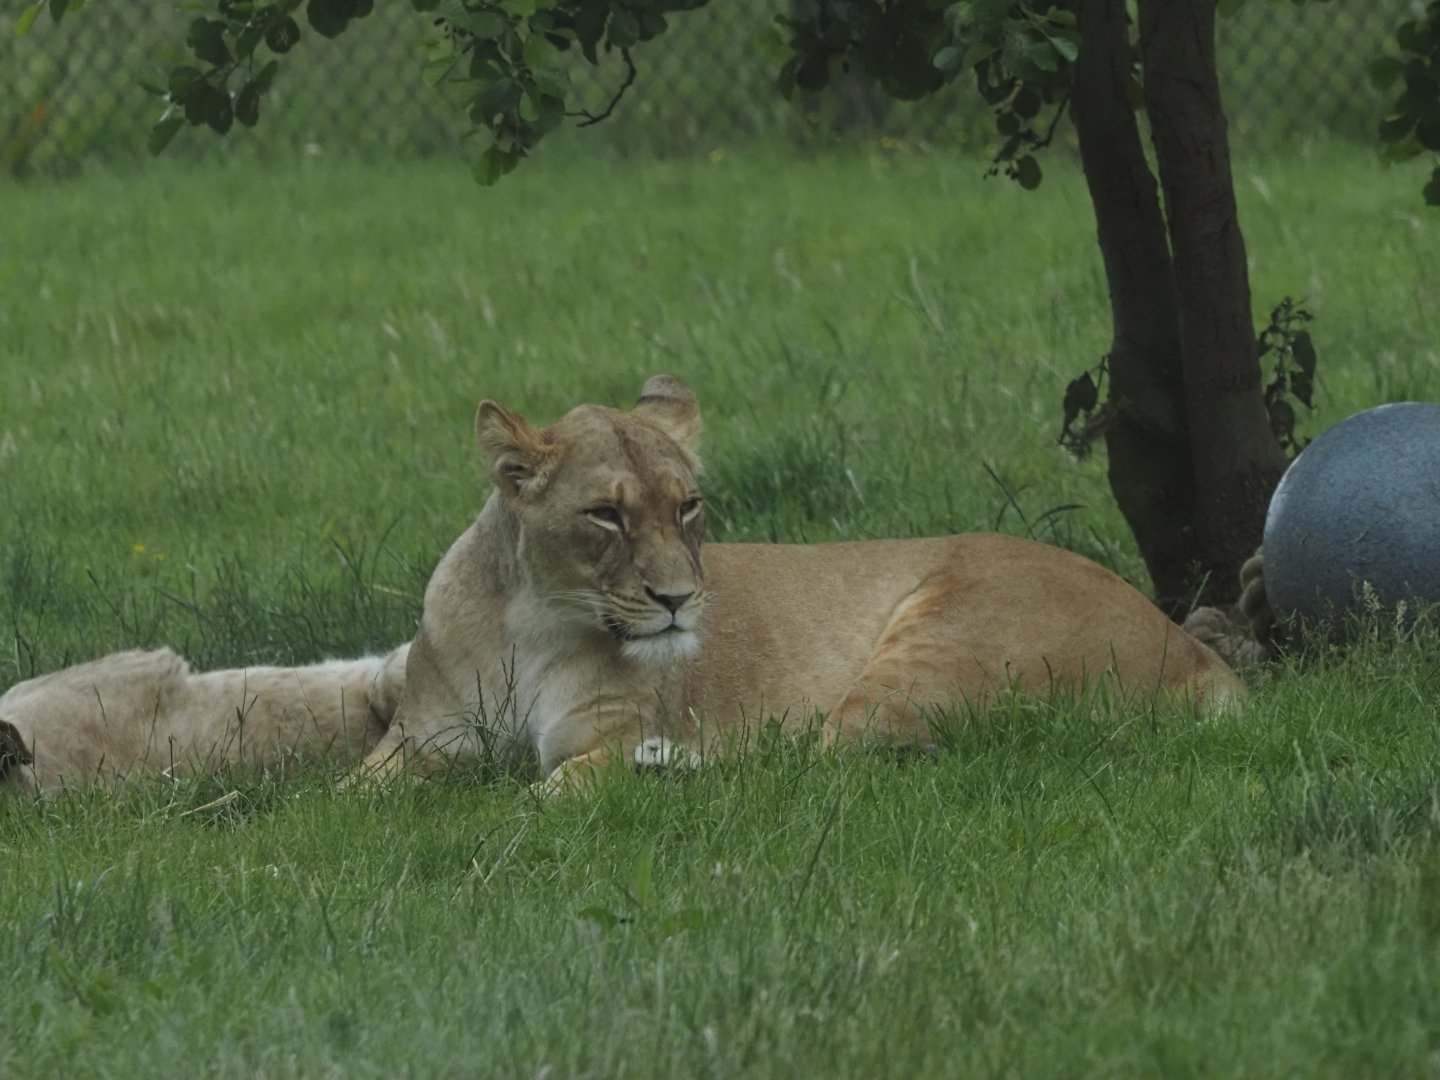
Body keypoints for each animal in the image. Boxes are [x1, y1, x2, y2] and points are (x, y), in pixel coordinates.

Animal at [349, 375, 1245, 793]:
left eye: (688, 506)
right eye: (606, 514)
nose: (679, 601)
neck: (530, 624)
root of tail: (1193, 647)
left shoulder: (604, 737)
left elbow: (557, 788)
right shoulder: (419, 743)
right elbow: (346, 797)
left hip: (927, 658)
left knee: (806, 766)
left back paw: (676, 767)